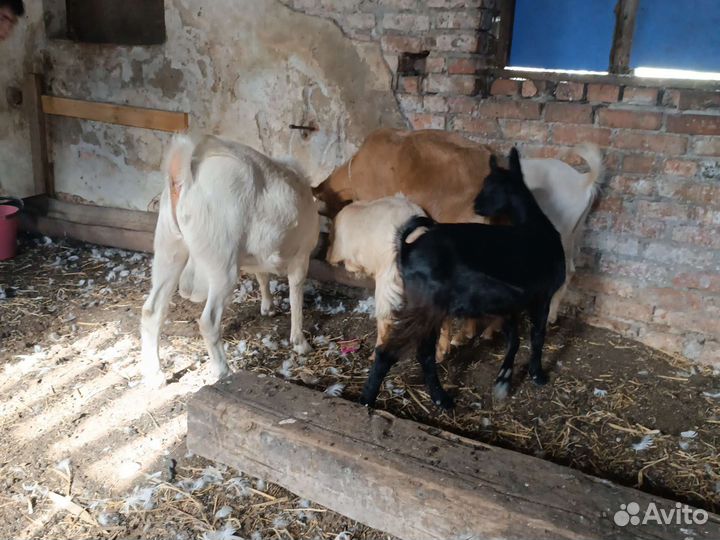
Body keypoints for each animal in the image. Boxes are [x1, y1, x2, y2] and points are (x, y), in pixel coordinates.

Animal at [140, 134, 320, 387]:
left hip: (169, 246)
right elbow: (296, 294)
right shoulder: (301, 256)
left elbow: (262, 277)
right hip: (221, 261)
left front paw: (268, 307)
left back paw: (155, 375)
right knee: (208, 321)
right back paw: (223, 372)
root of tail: (185, 176)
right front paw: (300, 342)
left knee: (152, 310)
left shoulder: (258, 257)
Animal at [360, 148, 565, 409]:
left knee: (422, 352)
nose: (477, 206)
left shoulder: (508, 302)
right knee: (396, 351)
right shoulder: (543, 295)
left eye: (493, 187)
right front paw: (536, 374)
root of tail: (407, 249)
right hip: (428, 304)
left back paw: (437, 398)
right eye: (486, 184)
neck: (534, 225)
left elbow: (515, 338)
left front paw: (504, 377)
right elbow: (537, 335)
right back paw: (372, 400)